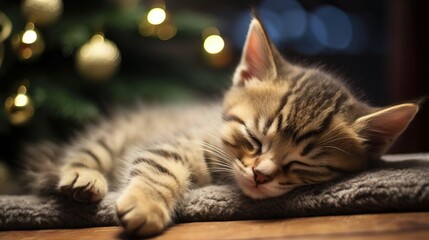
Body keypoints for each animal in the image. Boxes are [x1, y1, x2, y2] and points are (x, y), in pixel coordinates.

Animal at [22, 18, 414, 236]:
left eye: (304, 163)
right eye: (253, 138)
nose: (261, 175)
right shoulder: (176, 140)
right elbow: (159, 166)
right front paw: (147, 204)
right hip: (110, 136)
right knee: (81, 153)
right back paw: (83, 178)